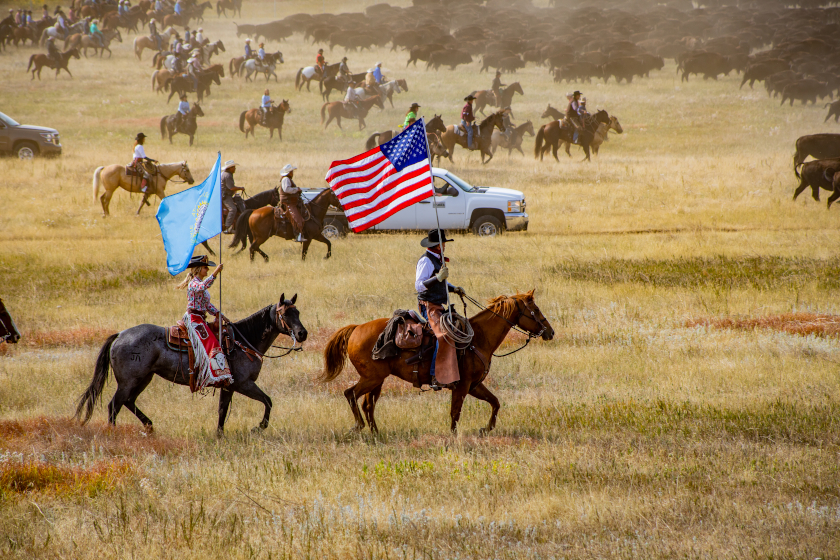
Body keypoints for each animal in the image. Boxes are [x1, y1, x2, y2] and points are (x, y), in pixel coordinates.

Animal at [74, 296, 306, 436]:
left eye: (298, 313)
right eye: (284, 314)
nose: (302, 333)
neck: (243, 341)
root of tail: (120, 335)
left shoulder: (229, 386)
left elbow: (222, 410)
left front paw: (219, 435)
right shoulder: (243, 384)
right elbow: (268, 401)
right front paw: (259, 427)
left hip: (144, 378)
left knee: (128, 402)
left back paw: (149, 426)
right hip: (128, 381)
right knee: (115, 405)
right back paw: (114, 431)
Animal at [318, 290, 556, 436]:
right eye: (535, 310)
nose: (550, 332)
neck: (478, 339)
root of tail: (356, 329)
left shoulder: (475, 385)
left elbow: (495, 402)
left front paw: (485, 429)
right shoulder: (462, 385)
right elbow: (455, 412)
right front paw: (454, 436)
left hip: (377, 380)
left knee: (368, 404)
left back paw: (376, 433)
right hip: (371, 378)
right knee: (350, 394)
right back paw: (358, 427)